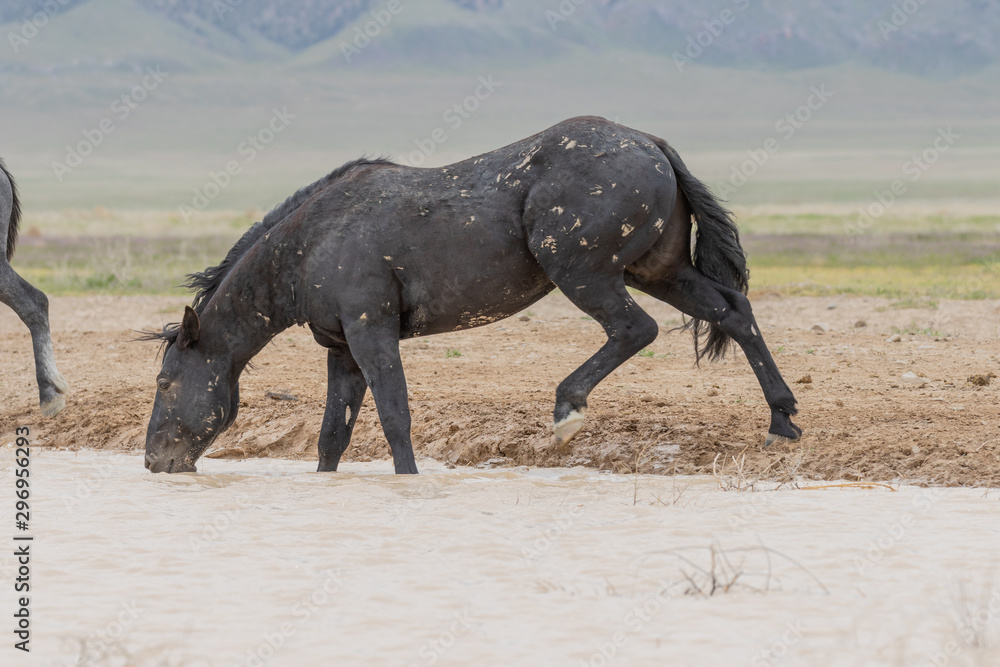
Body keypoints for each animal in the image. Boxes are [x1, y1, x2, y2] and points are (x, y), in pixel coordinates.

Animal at [142, 116, 800, 474]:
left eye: (166, 383)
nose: (152, 461)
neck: (313, 243)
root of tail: (652, 145)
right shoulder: (342, 348)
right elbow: (334, 436)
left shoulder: (372, 331)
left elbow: (396, 418)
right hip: (656, 271)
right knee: (733, 313)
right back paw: (782, 420)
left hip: (587, 274)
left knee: (635, 330)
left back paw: (567, 412)